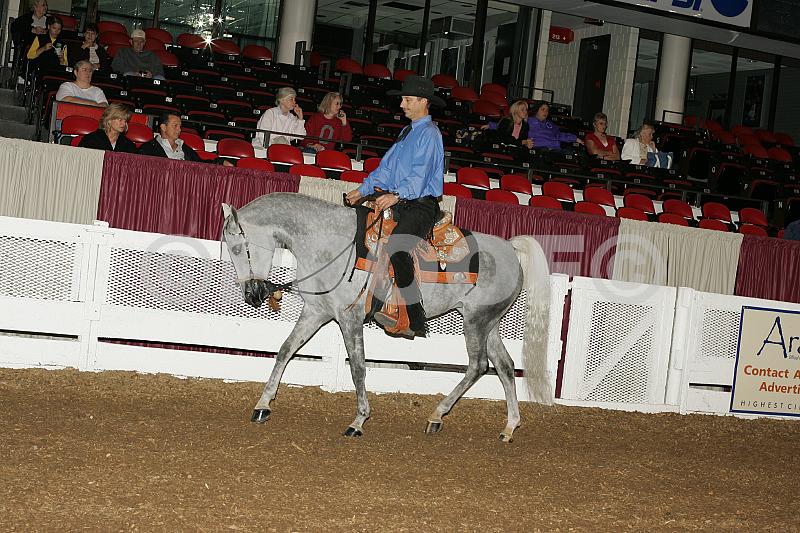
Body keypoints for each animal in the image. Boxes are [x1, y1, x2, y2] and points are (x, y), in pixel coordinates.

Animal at [221, 192, 552, 442]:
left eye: (237, 248)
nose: (251, 295)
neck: (331, 244)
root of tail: (510, 248)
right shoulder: (316, 312)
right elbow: (285, 350)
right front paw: (263, 404)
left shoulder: (349, 318)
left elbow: (358, 367)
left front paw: (358, 420)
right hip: (490, 324)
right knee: (504, 366)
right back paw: (508, 427)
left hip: (476, 322)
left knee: (478, 365)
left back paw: (437, 415)